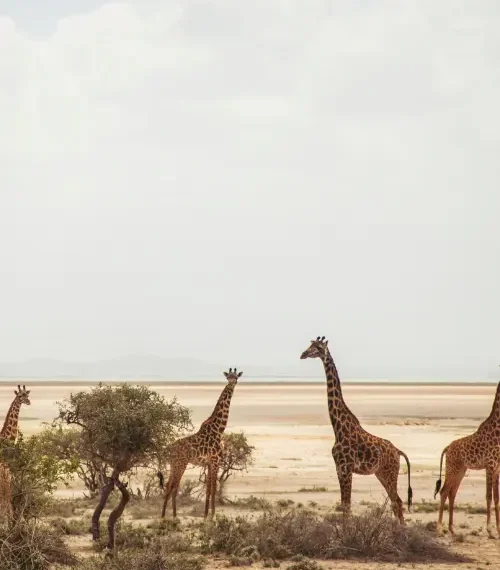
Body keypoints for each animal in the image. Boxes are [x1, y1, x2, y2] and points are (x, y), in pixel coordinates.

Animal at [158, 367, 242, 519]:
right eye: (229, 377)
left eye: (236, 377)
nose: (233, 382)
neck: (219, 429)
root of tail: (169, 449)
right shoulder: (215, 460)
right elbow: (214, 488)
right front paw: (213, 515)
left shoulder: (209, 463)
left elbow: (208, 489)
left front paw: (206, 514)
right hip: (181, 464)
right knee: (174, 486)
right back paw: (173, 516)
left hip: (173, 464)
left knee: (168, 485)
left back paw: (163, 515)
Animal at [300, 337, 412, 523]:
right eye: (309, 345)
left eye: (318, 348)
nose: (303, 354)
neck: (337, 429)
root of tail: (398, 451)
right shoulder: (339, 468)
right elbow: (344, 505)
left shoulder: (346, 468)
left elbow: (346, 506)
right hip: (381, 473)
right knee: (397, 502)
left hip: (389, 473)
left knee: (397, 502)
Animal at [434, 380, 500, 538]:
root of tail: (447, 448)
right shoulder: (490, 466)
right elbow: (489, 496)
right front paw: (490, 530)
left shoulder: (497, 468)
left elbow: (497, 498)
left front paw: (498, 530)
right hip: (452, 469)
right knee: (444, 491)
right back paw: (439, 529)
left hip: (460, 471)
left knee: (452, 493)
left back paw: (452, 529)